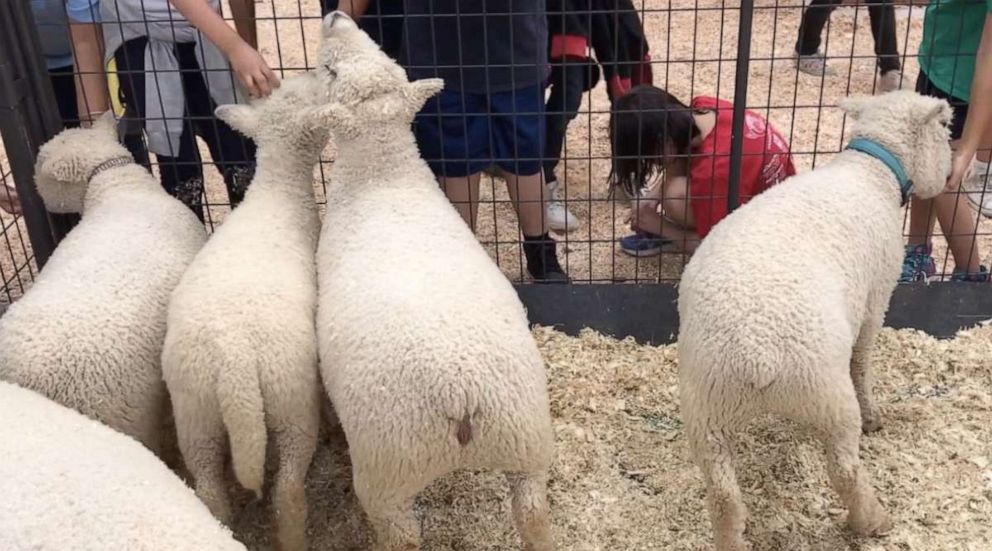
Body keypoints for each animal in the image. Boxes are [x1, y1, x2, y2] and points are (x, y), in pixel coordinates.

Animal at [161, 72, 332, 551]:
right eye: (309, 96)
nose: (313, 73)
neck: (277, 189)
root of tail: (232, 359)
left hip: (194, 414)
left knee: (208, 487)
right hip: (291, 405)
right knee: (288, 491)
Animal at [314, 10, 556, 548]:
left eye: (331, 74)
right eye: (384, 51)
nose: (337, 15)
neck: (384, 177)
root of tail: (460, 395)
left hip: (388, 474)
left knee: (401, 534)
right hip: (526, 442)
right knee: (533, 512)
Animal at [680, 91, 948, 551]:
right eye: (947, 130)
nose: (952, 173)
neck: (870, 171)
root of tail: (755, 355)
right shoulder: (877, 297)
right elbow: (862, 361)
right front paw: (875, 415)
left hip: (706, 414)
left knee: (723, 498)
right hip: (828, 398)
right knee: (844, 469)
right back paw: (872, 520)